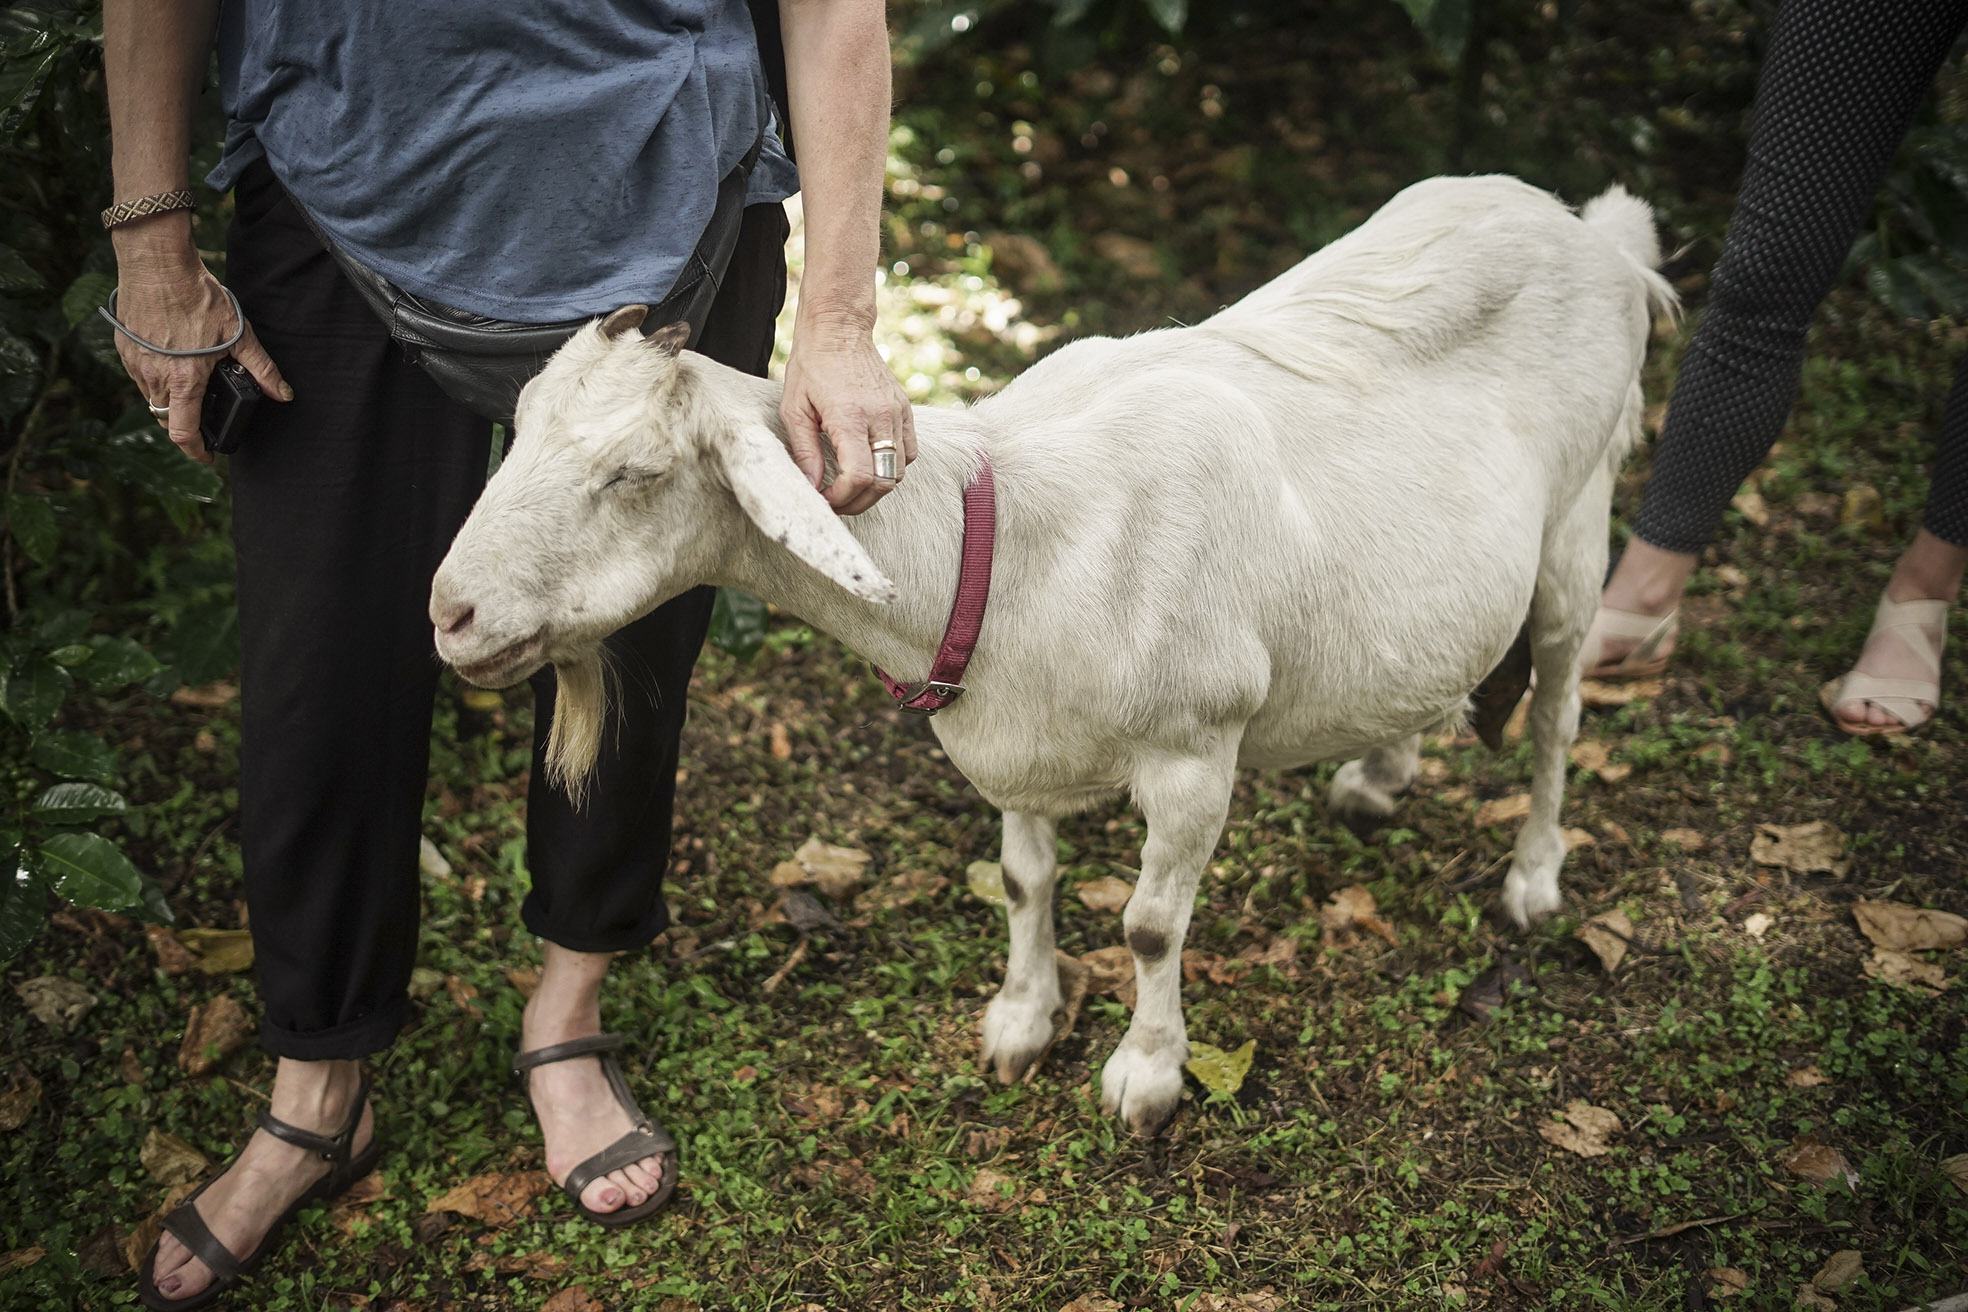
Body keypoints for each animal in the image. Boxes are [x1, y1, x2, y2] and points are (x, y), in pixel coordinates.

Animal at [434, 177, 1676, 1140]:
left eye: (636, 473)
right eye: (522, 426)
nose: (448, 612)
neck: (1005, 540)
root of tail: (1595, 230)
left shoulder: (1195, 753)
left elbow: (1150, 924)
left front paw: (1147, 1075)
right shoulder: (1016, 748)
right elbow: (1027, 880)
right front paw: (1022, 1022)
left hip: (1579, 527)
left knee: (1560, 710)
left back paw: (1533, 877)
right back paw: (1379, 774)